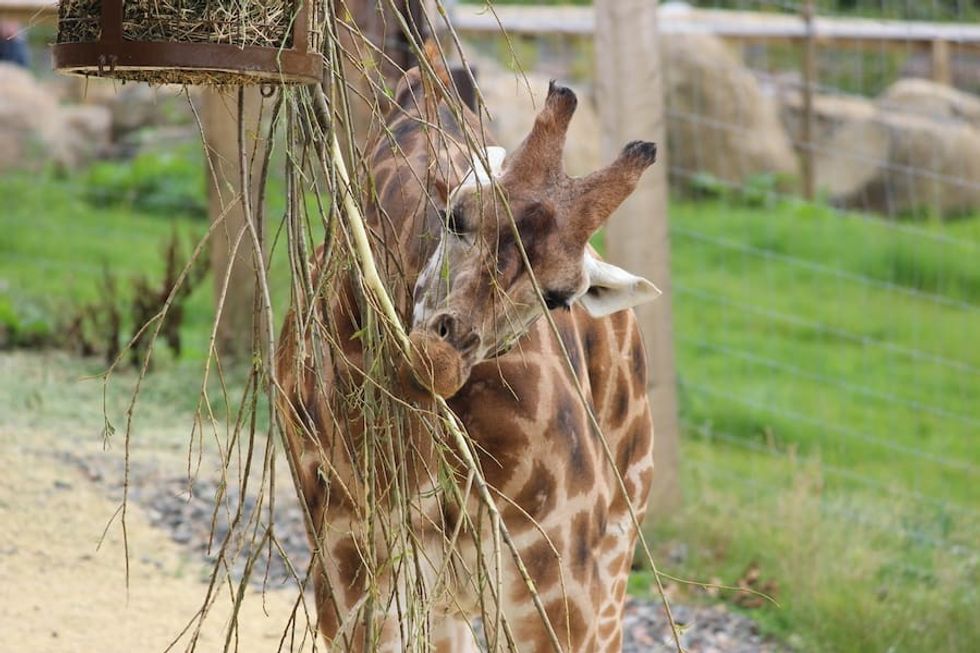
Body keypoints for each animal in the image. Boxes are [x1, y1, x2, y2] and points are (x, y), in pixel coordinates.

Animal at [276, 56, 659, 652]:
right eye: (456, 218)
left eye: (558, 297)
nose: (439, 355)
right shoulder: (350, 569)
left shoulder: (559, 586)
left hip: (615, 544)